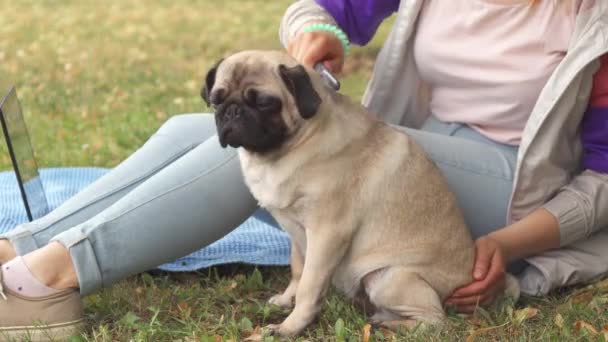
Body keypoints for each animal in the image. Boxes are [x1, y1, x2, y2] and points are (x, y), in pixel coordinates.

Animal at [202, 50, 520, 336]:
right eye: (216, 99)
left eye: (265, 103)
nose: (231, 110)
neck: (284, 151)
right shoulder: (296, 231)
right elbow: (298, 271)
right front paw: (285, 301)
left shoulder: (327, 233)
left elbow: (309, 287)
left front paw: (289, 327)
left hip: (390, 277)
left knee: (435, 320)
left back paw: (390, 324)